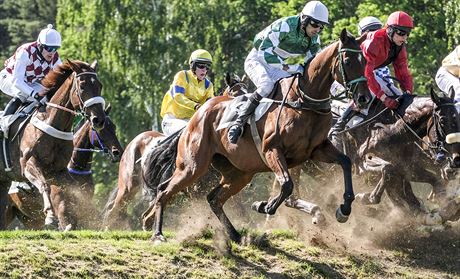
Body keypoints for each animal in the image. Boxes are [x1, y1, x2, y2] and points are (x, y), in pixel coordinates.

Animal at [0, 59, 106, 230]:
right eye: (82, 85)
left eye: (99, 85)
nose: (99, 120)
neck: (53, 123)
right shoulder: (28, 164)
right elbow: (44, 186)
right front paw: (50, 216)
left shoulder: (58, 171)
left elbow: (72, 194)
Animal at [142, 28, 372, 243]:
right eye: (348, 60)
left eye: (366, 61)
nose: (364, 98)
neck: (304, 101)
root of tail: (195, 119)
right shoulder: (272, 150)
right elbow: (287, 185)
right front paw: (264, 206)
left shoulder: (316, 150)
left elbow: (345, 162)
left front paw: (344, 209)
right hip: (193, 166)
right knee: (164, 191)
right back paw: (157, 233)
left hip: (239, 173)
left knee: (214, 199)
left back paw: (235, 234)